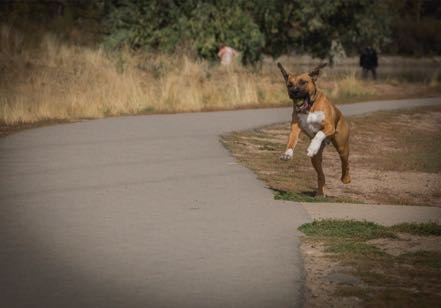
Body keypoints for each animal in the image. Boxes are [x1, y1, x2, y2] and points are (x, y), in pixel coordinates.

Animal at [276, 62, 348, 196]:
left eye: (303, 82)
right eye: (289, 84)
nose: (294, 91)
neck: (309, 107)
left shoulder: (329, 126)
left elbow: (319, 133)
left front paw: (312, 147)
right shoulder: (295, 127)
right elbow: (291, 141)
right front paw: (287, 153)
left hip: (342, 146)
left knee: (345, 163)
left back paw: (346, 178)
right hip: (315, 160)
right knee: (321, 174)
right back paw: (320, 192)